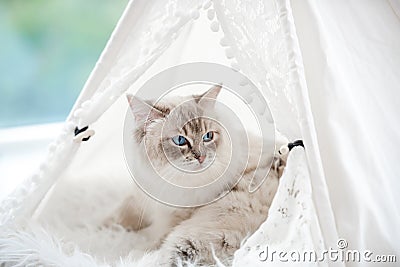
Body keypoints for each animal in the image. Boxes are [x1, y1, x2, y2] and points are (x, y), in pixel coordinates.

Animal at [108, 85, 286, 266]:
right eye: (180, 140)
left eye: (208, 137)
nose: (201, 157)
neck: (168, 179)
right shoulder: (143, 195)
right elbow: (123, 212)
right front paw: (109, 225)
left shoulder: (174, 219)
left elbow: (156, 238)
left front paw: (131, 250)